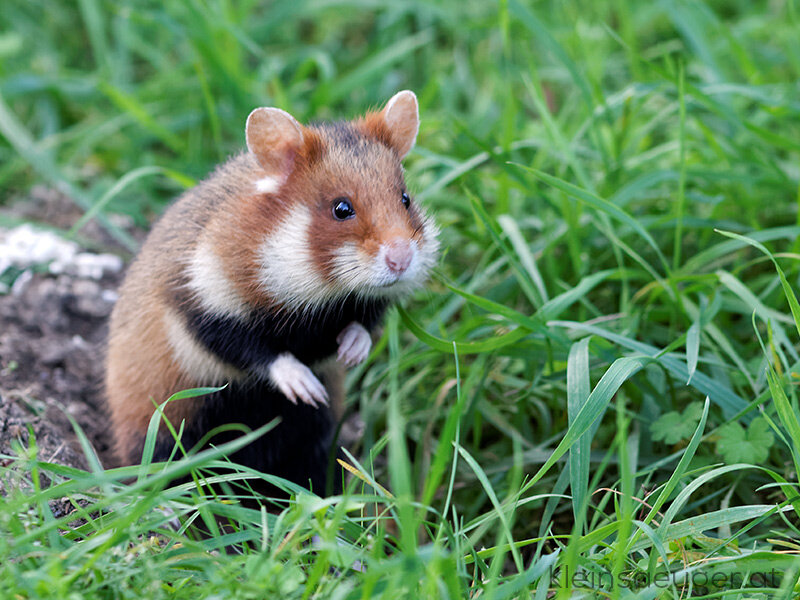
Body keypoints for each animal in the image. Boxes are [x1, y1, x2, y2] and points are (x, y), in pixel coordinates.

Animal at [104, 89, 440, 492]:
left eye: (405, 199)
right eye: (342, 208)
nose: (402, 259)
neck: (320, 292)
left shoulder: (360, 306)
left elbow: (362, 323)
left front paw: (350, 353)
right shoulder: (201, 304)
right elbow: (256, 350)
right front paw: (306, 388)